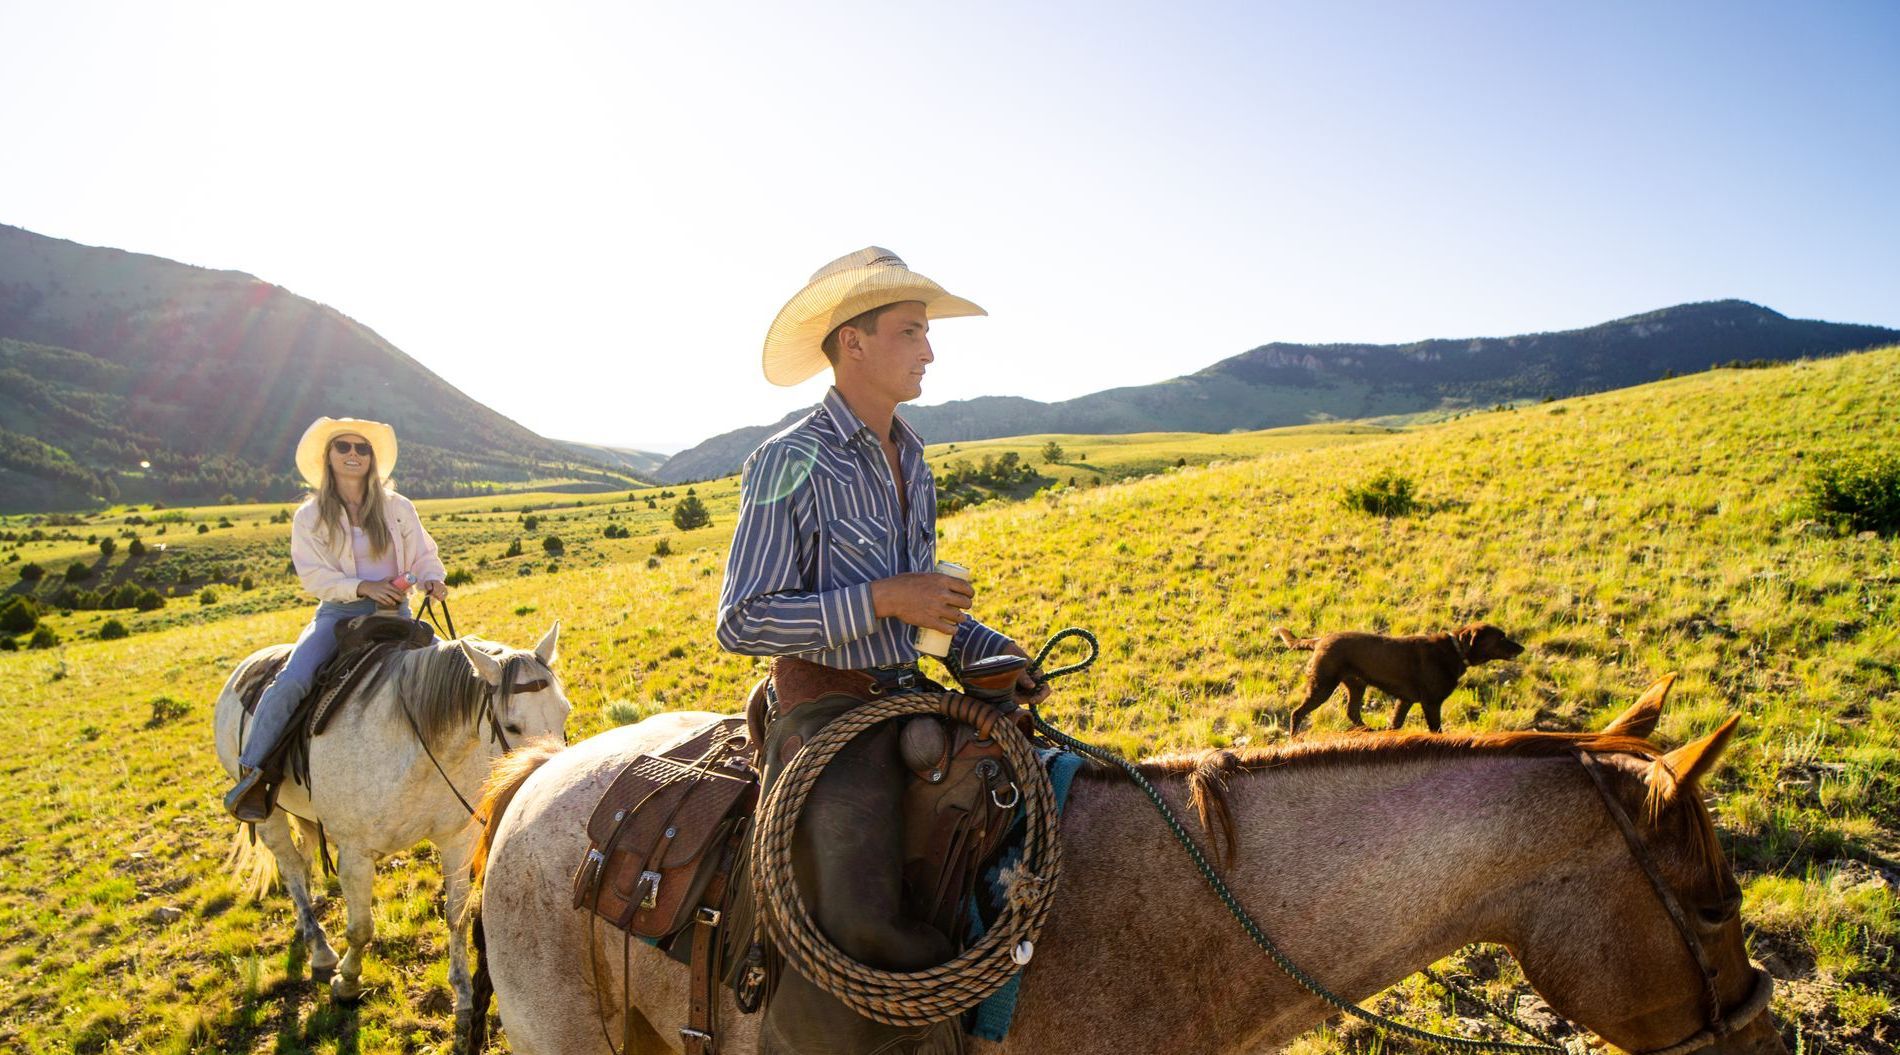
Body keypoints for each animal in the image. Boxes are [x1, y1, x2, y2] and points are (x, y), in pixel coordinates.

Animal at [213, 623, 570, 1034]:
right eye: (512, 725)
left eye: (565, 711)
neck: (419, 749)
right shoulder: (355, 854)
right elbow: (361, 928)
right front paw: (347, 983)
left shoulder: (455, 841)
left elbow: (456, 915)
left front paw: (463, 996)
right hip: (267, 813)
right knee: (289, 869)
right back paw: (320, 951)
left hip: (302, 813)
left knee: (301, 864)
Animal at [1276, 619, 1527, 733]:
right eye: (1501, 637)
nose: (1521, 648)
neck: (1455, 650)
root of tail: (1319, 640)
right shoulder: (1431, 703)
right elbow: (1436, 730)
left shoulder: (1405, 700)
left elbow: (1396, 723)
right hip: (1323, 685)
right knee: (1298, 713)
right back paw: (1295, 737)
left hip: (1356, 684)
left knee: (1352, 712)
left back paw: (1368, 731)